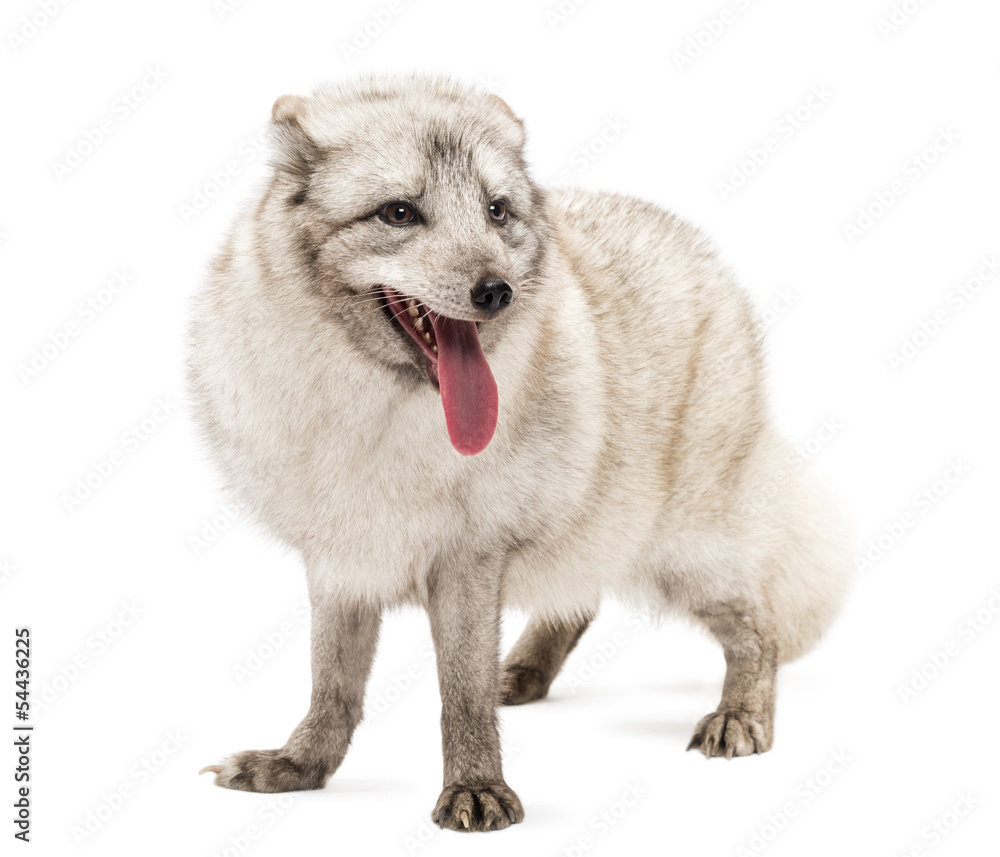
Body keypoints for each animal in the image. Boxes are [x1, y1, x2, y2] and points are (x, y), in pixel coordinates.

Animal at [188, 74, 852, 832]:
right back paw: (525, 671)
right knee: (581, 601)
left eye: (496, 210)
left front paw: (477, 787)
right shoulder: (340, 559)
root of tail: (698, 249)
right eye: (398, 213)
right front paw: (300, 767)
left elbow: (461, 692)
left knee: (758, 623)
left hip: (679, 553)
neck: (374, 405)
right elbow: (332, 684)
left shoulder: (469, 558)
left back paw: (741, 714)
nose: (497, 291)